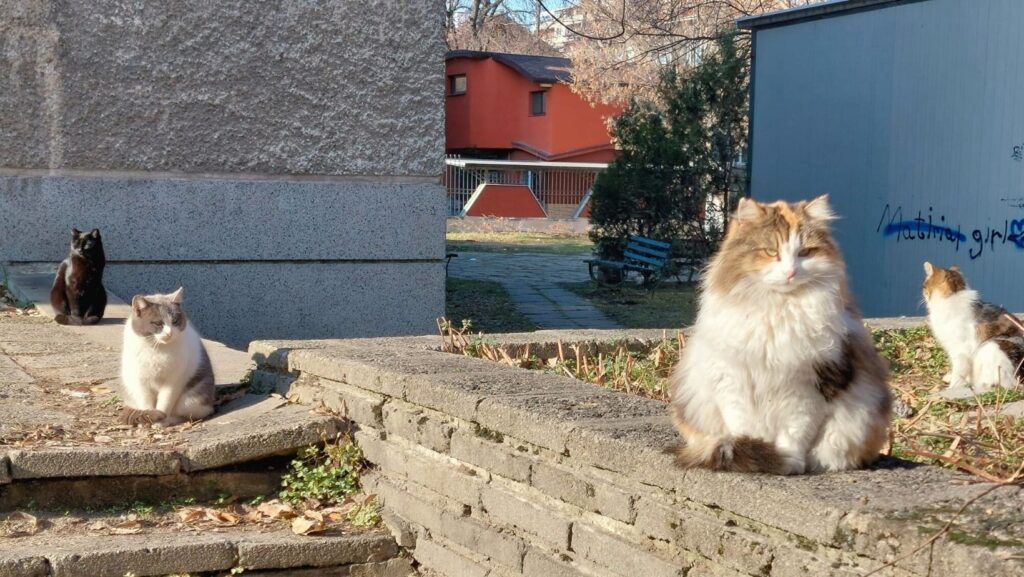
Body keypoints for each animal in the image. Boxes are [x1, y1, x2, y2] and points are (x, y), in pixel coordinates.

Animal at [118, 286, 215, 426]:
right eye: (158, 323)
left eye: (175, 321)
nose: (169, 333)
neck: (157, 349)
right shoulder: (140, 380)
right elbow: (146, 403)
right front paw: (148, 418)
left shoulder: (173, 380)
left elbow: (165, 403)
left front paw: (160, 422)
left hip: (192, 400)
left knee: (187, 413)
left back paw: (170, 420)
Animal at [667, 196, 892, 475]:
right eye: (771, 252)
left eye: (805, 253)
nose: (790, 273)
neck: (776, 310)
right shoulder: (733, 379)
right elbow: (744, 427)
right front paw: (753, 451)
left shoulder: (809, 386)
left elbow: (795, 433)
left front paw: (787, 462)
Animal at [921, 262, 1024, 391]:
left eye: (924, 287)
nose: (923, 293)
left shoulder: (961, 350)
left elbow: (959, 373)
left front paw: (952, 388)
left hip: (991, 346)